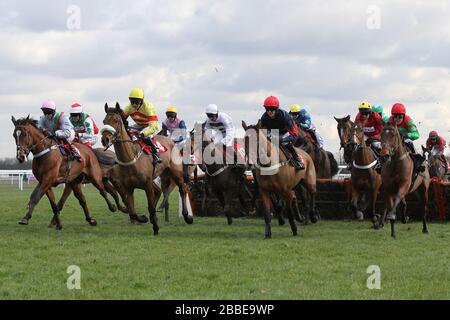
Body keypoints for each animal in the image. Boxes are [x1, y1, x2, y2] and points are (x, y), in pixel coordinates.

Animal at [101, 103, 192, 235]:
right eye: (104, 121)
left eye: (116, 121)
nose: (105, 140)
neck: (131, 159)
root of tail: (172, 141)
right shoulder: (128, 188)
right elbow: (132, 211)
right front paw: (143, 218)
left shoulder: (147, 185)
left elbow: (150, 207)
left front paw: (155, 227)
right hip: (164, 176)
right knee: (164, 191)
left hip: (177, 173)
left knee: (182, 189)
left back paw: (187, 216)